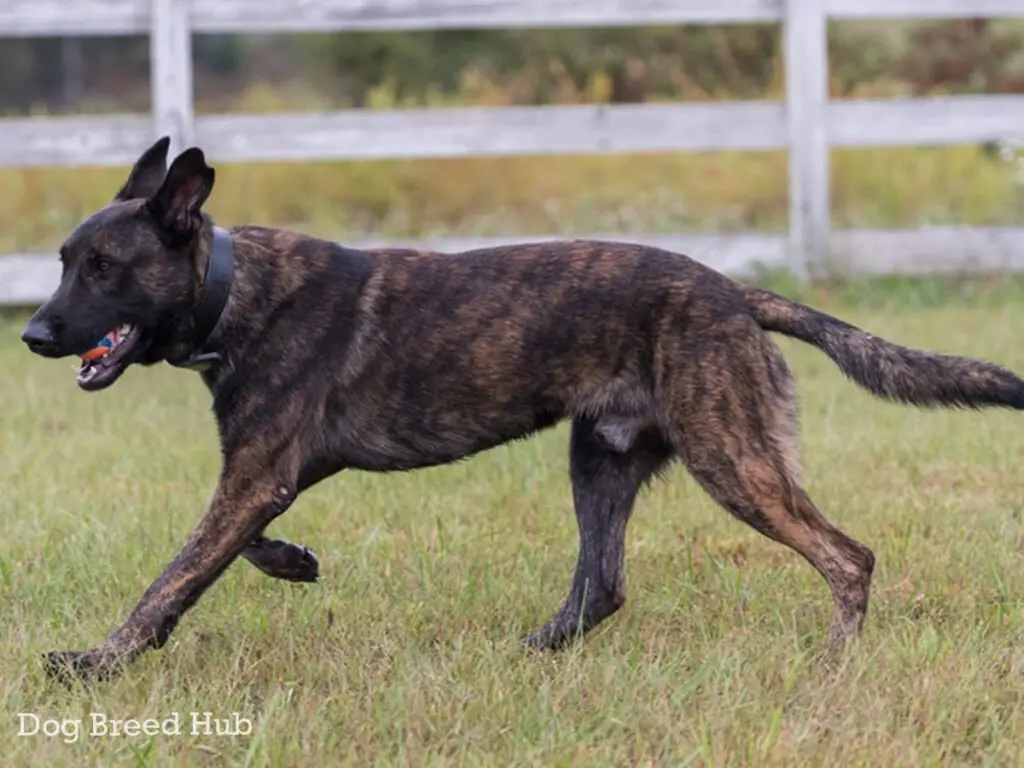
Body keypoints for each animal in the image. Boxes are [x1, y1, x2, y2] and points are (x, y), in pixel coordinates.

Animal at [19, 138, 1024, 684]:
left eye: (102, 268)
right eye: (65, 261)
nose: (31, 333)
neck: (232, 290)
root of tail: (734, 293)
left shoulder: (258, 473)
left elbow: (173, 576)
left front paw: (100, 662)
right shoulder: (263, 476)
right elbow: (228, 550)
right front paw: (293, 563)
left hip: (730, 458)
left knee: (847, 556)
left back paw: (833, 661)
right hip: (602, 460)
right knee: (603, 585)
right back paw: (530, 653)